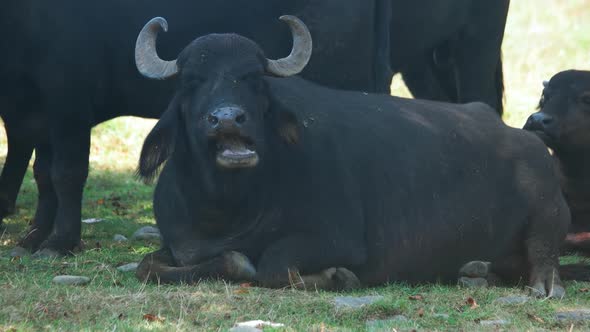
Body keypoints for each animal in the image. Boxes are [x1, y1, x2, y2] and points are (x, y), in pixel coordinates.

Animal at [0, 0, 512, 255]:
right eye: (190, 82)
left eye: (253, 79)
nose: (226, 118)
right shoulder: (30, 103)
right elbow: (43, 172)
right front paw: (33, 236)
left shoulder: (67, 90)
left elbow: (67, 171)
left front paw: (60, 243)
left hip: (464, 45)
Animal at [135, 15, 572, 296]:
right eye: (191, 82)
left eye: (253, 79)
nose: (227, 118)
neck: (227, 209)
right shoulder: (178, 246)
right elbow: (148, 267)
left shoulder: (337, 238)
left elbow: (272, 264)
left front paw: (338, 277)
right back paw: (476, 273)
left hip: (548, 208)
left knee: (545, 254)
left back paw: (544, 285)